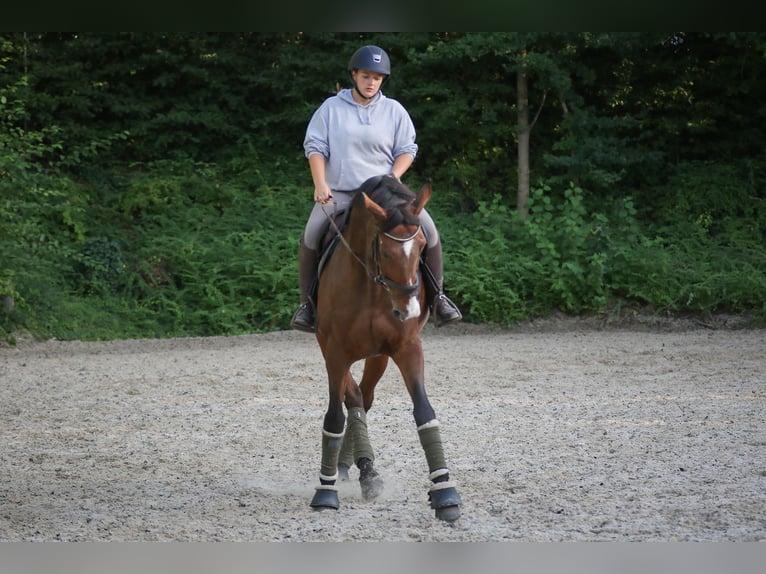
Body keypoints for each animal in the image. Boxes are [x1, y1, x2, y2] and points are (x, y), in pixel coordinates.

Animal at [308, 174, 462, 522]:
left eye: (422, 247)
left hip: (378, 357)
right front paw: (325, 491)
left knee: (363, 399)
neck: (372, 286)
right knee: (354, 399)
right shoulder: (335, 351)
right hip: (329, 347)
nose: (409, 310)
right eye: (387, 252)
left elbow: (424, 412)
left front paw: (444, 491)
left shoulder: (407, 347)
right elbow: (334, 417)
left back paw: (362, 470)